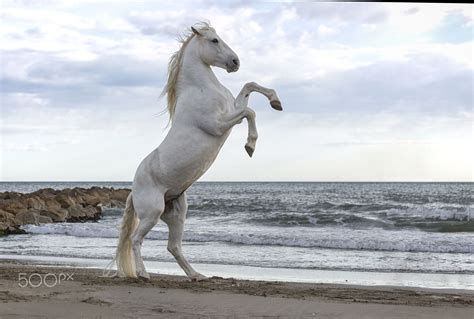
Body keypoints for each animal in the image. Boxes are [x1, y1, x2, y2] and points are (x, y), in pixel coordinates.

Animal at [109, 22, 282, 282]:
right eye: (214, 40)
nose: (235, 62)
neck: (201, 89)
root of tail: (133, 190)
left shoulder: (231, 110)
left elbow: (249, 87)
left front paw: (276, 101)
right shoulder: (219, 124)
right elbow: (249, 112)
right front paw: (250, 146)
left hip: (177, 213)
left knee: (173, 246)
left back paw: (196, 275)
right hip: (152, 212)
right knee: (135, 239)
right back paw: (144, 274)